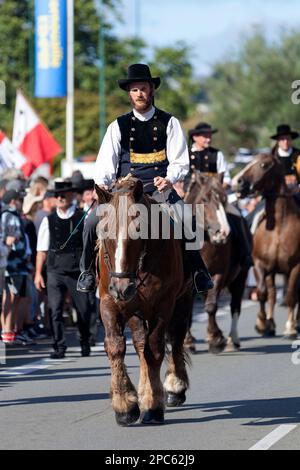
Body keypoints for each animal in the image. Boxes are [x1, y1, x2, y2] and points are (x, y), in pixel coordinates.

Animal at [96, 176, 195, 426]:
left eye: (139, 229)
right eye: (104, 230)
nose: (122, 287)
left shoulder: (163, 305)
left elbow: (155, 348)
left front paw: (152, 406)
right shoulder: (111, 302)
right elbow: (116, 346)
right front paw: (125, 404)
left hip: (183, 299)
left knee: (176, 337)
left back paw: (174, 387)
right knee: (141, 343)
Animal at [184, 173, 250, 352]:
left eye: (224, 199)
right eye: (204, 199)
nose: (223, 233)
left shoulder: (219, 274)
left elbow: (211, 306)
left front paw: (216, 339)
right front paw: (188, 341)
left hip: (240, 277)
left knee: (235, 306)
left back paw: (232, 339)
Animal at [234, 152, 300, 340]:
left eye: (263, 165)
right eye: (251, 161)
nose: (239, 182)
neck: (278, 227)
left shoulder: (295, 267)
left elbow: (291, 295)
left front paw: (291, 328)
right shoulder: (260, 265)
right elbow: (263, 293)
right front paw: (263, 324)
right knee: (271, 294)